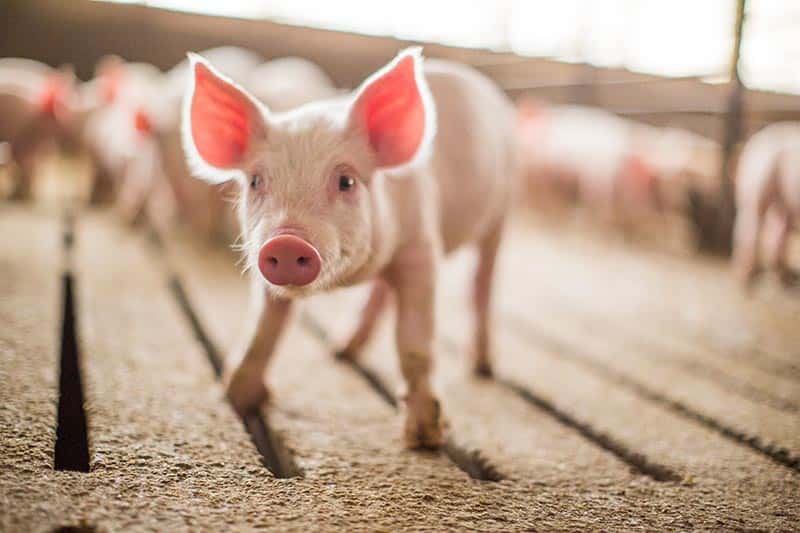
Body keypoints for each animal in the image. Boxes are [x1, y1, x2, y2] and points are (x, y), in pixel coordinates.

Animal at [180, 48, 516, 449]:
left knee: (482, 284)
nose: (287, 241)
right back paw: (341, 350)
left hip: (501, 212)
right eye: (256, 181)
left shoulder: (421, 246)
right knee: (382, 292)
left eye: (346, 181)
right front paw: (236, 397)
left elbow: (414, 340)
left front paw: (424, 438)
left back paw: (483, 367)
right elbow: (262, 329)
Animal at [733, 122, 800, 287]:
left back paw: (782, 277)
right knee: (748, 229)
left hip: (782, 200)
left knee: (775, 233)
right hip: (756, 185)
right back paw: (744, 279)